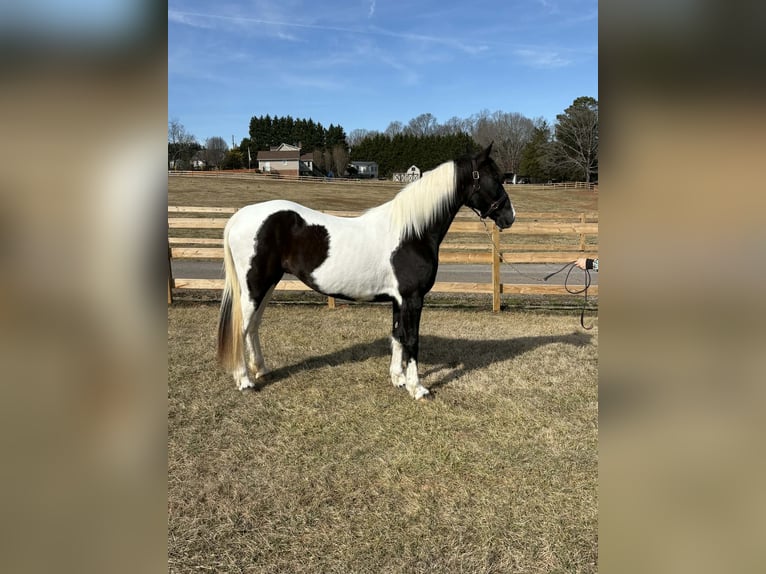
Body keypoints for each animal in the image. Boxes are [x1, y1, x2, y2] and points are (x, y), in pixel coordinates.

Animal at [216, 143, 515, 400]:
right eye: (495, 177)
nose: (510, 216)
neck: (412, 232)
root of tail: (239, 217)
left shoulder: (399, 300)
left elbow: (397, 335)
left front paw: (398, 379)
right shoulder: (413, 298)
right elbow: (412, 339)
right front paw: (417, 388)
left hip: (267, 285)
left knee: (253, 326)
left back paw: (261, 370)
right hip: (256, 285)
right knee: (241, 328)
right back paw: (245, 381)